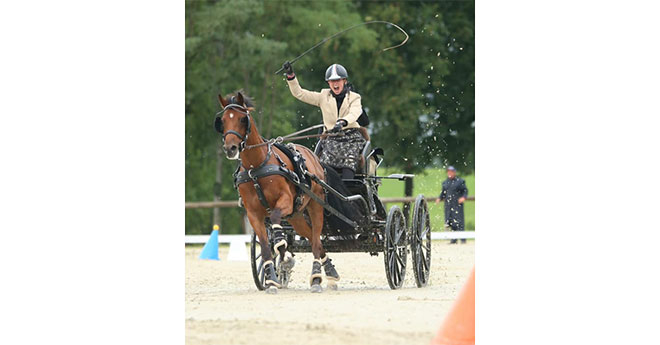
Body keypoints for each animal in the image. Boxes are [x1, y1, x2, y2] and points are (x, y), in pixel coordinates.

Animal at [215, 90, 340, 292]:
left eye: (242, 119)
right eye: (223, 120)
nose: (230, 148)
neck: (256, 167)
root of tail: (313, 157)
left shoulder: (285, 201)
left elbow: (275, 223)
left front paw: (283, 253)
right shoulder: (253, 214)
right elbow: (266, 247)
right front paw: (272, 279)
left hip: (315, 205)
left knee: (315, 239)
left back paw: (316, 278)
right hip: (296, 216)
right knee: (315, 239)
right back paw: (329, 271)